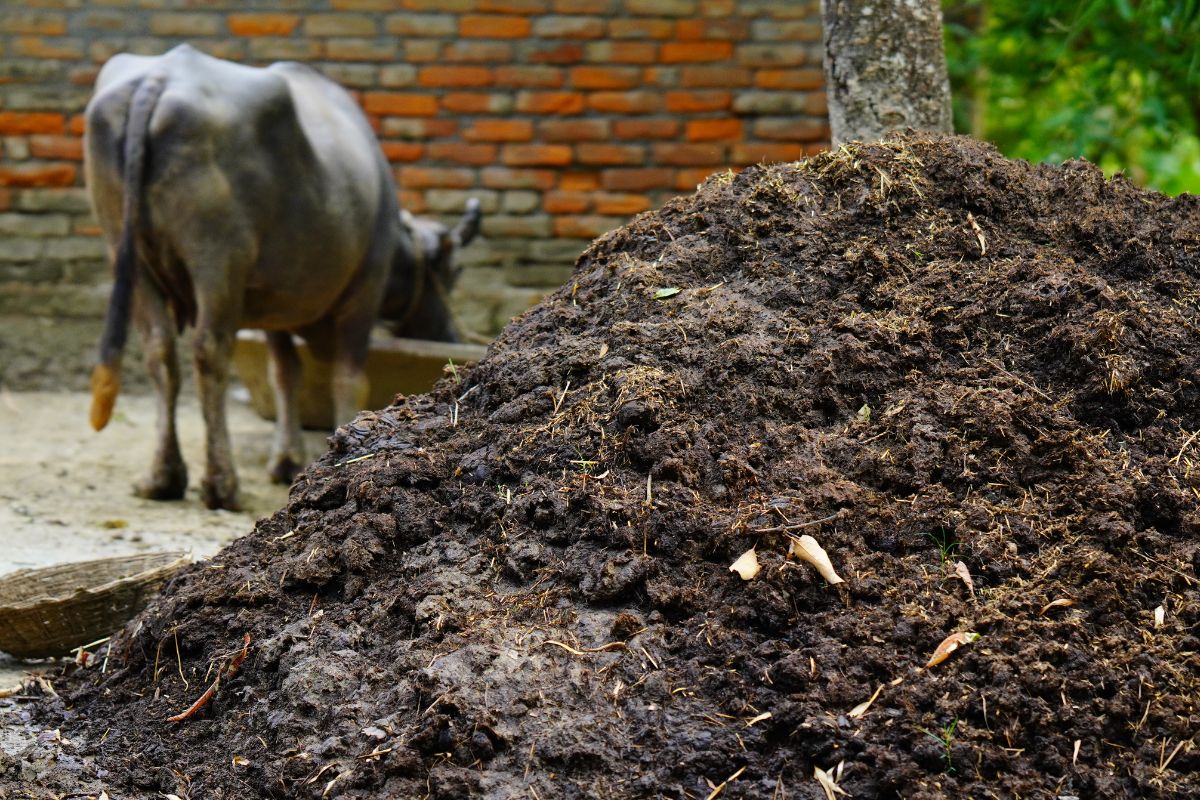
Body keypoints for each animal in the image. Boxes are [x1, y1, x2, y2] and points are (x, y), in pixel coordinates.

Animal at [84, 45, 465, 506]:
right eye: (452, 270)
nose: (450, 333)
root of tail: (159, 78)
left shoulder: (276, 307)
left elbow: (285, 375)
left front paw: (287, 459)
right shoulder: (364, 293)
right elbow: (349, 378)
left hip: (129, 253)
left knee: (161, 352)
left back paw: (163, 477)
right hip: (218, 259)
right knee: (209, 352)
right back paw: (221, 483)